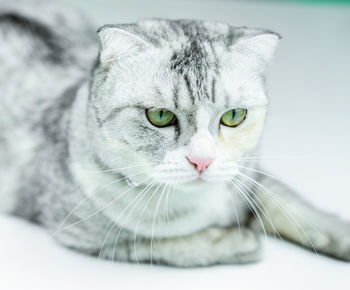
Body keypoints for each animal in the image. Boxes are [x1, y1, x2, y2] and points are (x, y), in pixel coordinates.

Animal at [0, 0, 350, 268]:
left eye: (234, 116)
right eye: (160, 116)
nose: (202, 160)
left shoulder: (249, 175)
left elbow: (293, 205)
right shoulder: (87, 233)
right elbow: (164, 244)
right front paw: (238, 240)